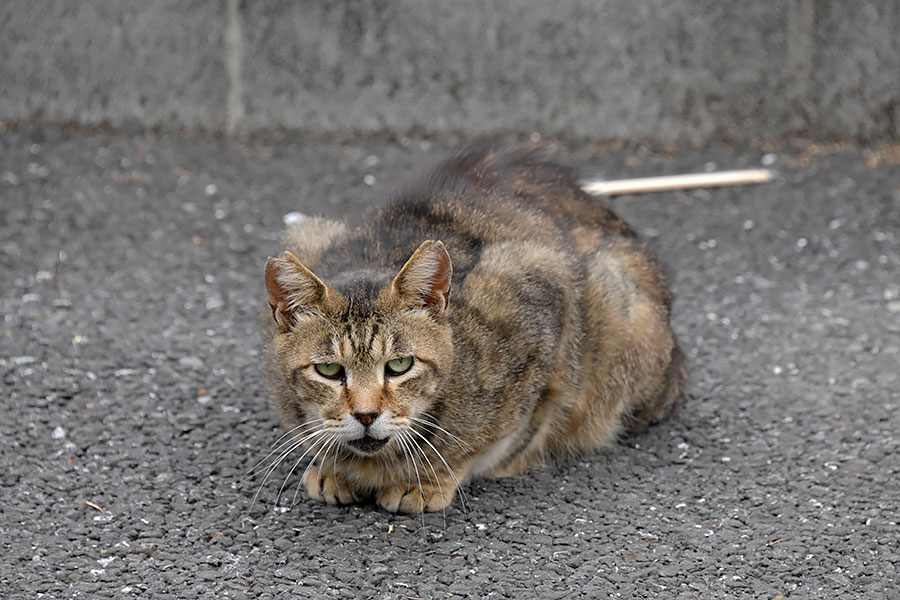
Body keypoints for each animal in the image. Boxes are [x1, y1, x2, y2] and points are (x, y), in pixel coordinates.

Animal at [258, 146, 684, 516]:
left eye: (399, 365)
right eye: (329, 370)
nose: (365, 416)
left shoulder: (541, 287)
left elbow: (495, 438)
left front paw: (425, 478)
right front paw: (333, 467)